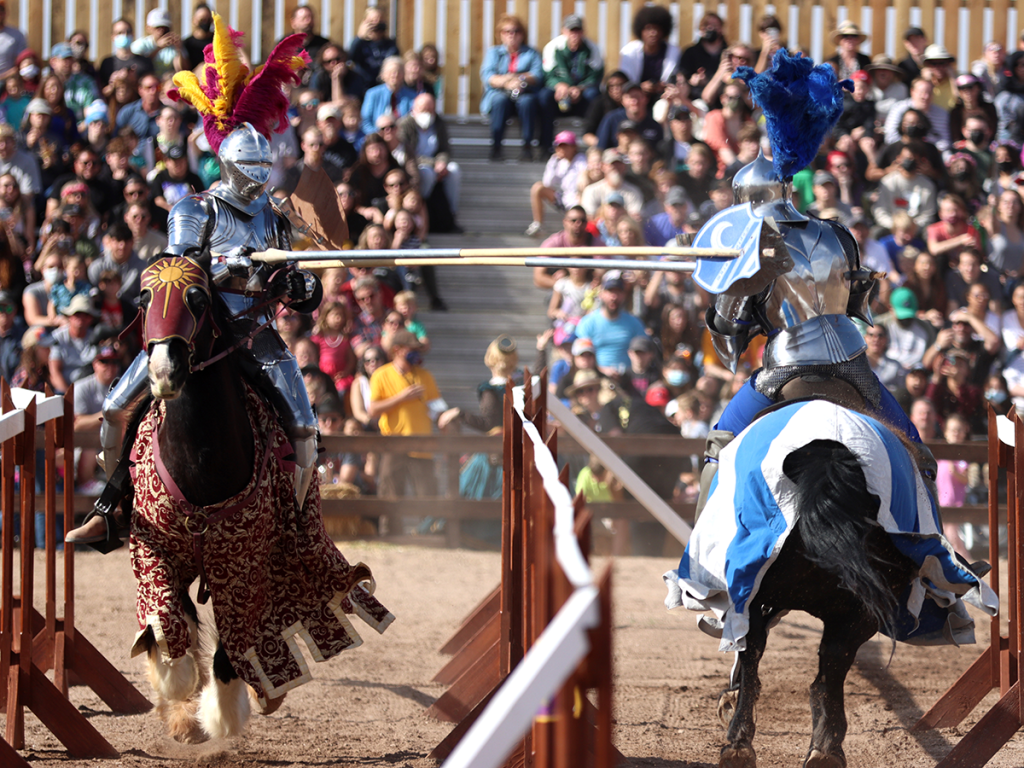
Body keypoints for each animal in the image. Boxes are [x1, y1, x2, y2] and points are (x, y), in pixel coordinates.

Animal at [129, 260, 391, 745]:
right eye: (143, 299)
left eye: (197, 298)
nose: (163, 371)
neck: (199, 459)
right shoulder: (152, 550)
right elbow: (167, 620)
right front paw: (178, 695)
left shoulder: (244, 567)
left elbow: (233, 642)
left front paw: (221, 713)